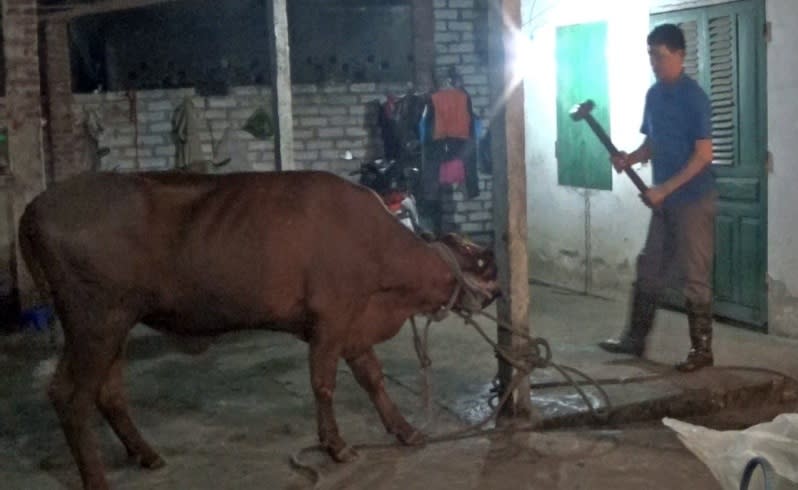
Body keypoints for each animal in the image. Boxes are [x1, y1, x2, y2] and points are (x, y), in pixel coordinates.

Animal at [20, 170, 500, 488]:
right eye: (483, 262)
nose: (497, 293)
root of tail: (35, 206)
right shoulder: (331, 319)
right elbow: (324, 384)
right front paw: (336, 445)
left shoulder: (354, 324)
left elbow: (373, 379)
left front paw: (405, 430)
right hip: (94, 321)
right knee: (71, 397)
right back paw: (97, 479)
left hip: (115, 323)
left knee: (105, 392)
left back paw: (147, 454)